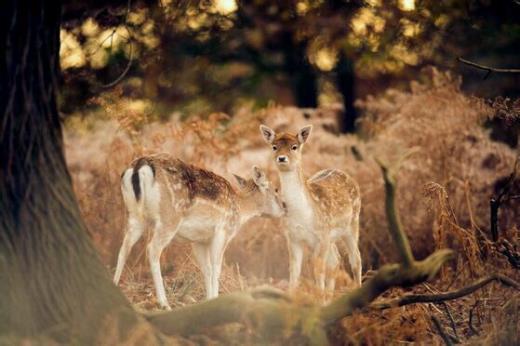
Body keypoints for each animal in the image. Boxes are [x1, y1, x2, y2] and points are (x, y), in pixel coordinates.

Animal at [114, 153, 284, 310]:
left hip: (135, 215)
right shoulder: (222, 231)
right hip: (169, 216)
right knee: (152, 249)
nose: (284, 207)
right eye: (275, 189)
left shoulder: (198, 241)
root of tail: (139, 166)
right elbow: (216, 267)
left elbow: (206, 269)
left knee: (124, 247)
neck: (240, 211)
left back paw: (115, 288)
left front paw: (208, 300)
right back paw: (164, 303)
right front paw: (215, 299)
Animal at [260, 124, 362, 292]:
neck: (302, 215)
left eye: (294, 146)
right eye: (274, 146)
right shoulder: (292, 237)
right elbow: (294, 271)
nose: (281, 158)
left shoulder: (322, 234)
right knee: (336, 259)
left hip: (353, 222)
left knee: (356, 258)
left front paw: (319, 296)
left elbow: (318, 270)